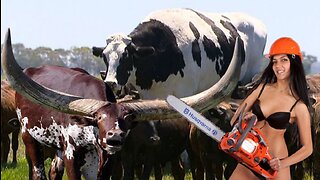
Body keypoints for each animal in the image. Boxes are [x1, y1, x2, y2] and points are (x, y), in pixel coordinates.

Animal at [1, 28, 242, 179]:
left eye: (127, 119)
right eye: (98, 118)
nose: (114, 137)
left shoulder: (108, 161)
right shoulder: (72, 154)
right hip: (29, 137)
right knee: (37, 171)